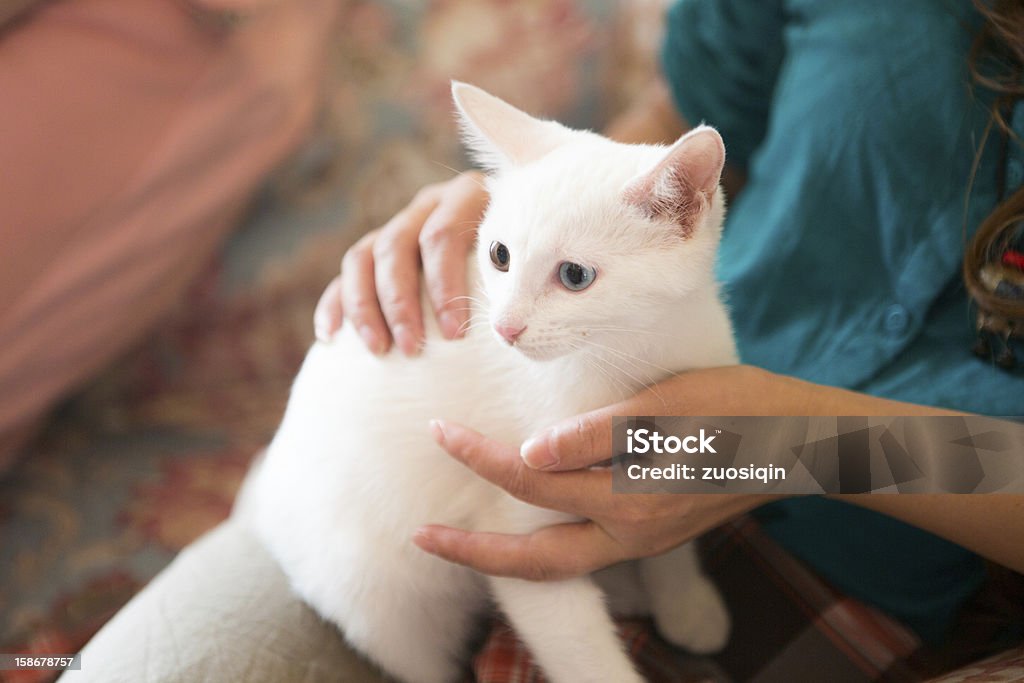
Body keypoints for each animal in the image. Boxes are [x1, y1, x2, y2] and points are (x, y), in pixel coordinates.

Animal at [243, 81, 741, 683]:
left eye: (574, 275)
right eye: (498, 255)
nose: (504, 327)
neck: (629, 357)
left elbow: (666, 525)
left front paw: (684, 600)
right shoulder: (512, 531)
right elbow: (580, 650)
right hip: (379, 604)